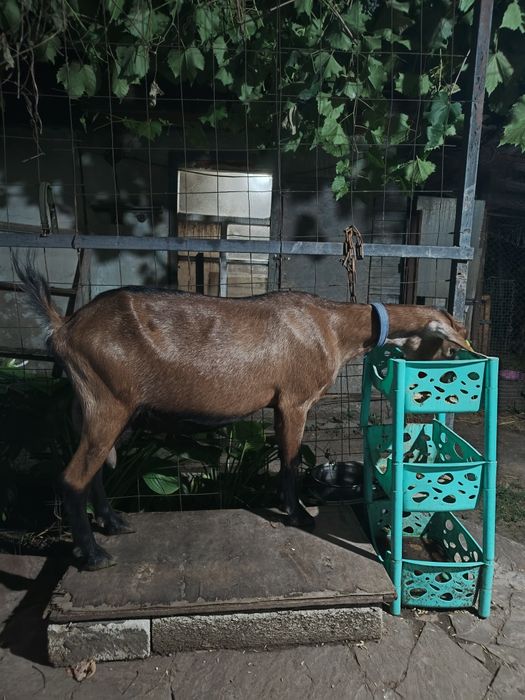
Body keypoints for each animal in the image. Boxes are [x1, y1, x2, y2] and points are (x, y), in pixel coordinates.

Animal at [13, 258, 472, 570]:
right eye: (451, 348)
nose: (449, 389)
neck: (334, 326)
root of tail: (63, 327)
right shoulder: (294, 400)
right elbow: (290, 461)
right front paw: (298, 515)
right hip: (108, 402)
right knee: (72, 477)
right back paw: (93, 554)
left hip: (104, 409)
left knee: (94, 471)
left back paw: (114, 523)